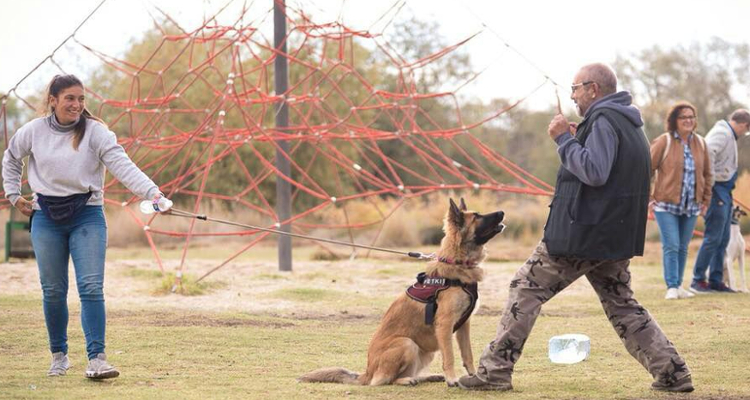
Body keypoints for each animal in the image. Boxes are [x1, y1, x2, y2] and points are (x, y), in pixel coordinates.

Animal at [298, 198, 506, 386]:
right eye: (477, 216)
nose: (502, 212)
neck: (457, 262)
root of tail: (367, 372)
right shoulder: (445, 325)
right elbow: (450, 356)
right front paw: (452, 379)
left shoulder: (464, 325)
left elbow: (467, 354)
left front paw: (474, 376)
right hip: (407, 343)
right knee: (383, 381)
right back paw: (407, 381)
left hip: (426, 352)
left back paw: (424, 377)